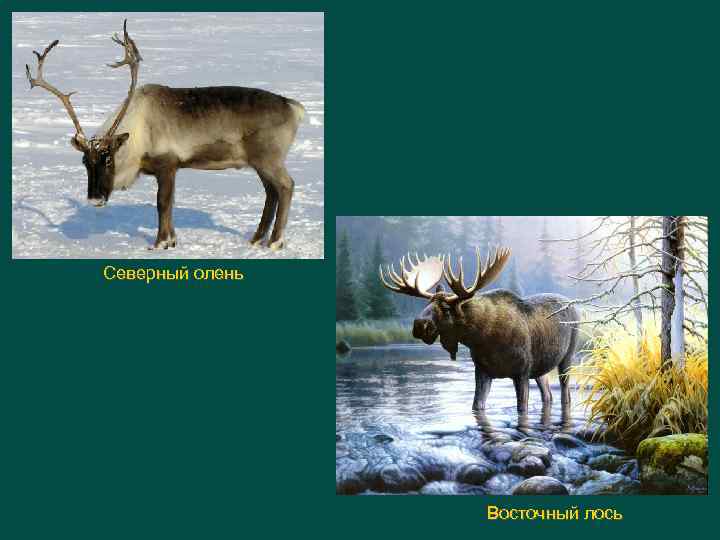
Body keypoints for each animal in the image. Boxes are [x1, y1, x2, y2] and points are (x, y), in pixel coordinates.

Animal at [25, 20, 305, 250]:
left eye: (108, 158)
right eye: (85, 162)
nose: (94, 199)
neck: (137, 136)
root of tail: (293, 106)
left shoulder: (168, 164)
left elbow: (163, 203)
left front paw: (161, 242)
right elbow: (168, 203)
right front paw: (171, 240)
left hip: (269, 158)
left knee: (286, 185)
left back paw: (275, 242)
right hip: (259, 162)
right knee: (271, 192)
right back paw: (257, 239)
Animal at [379, 247, 579, 414]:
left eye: (445, 309)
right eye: (427, 304)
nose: (419, 325)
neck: (481, 338)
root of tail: (575, 305)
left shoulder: (521, 372)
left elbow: (522, 408)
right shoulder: (482, 371)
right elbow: (477, 405)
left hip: (567, 357)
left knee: (565, 393)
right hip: (541, 368)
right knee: (548, 395)